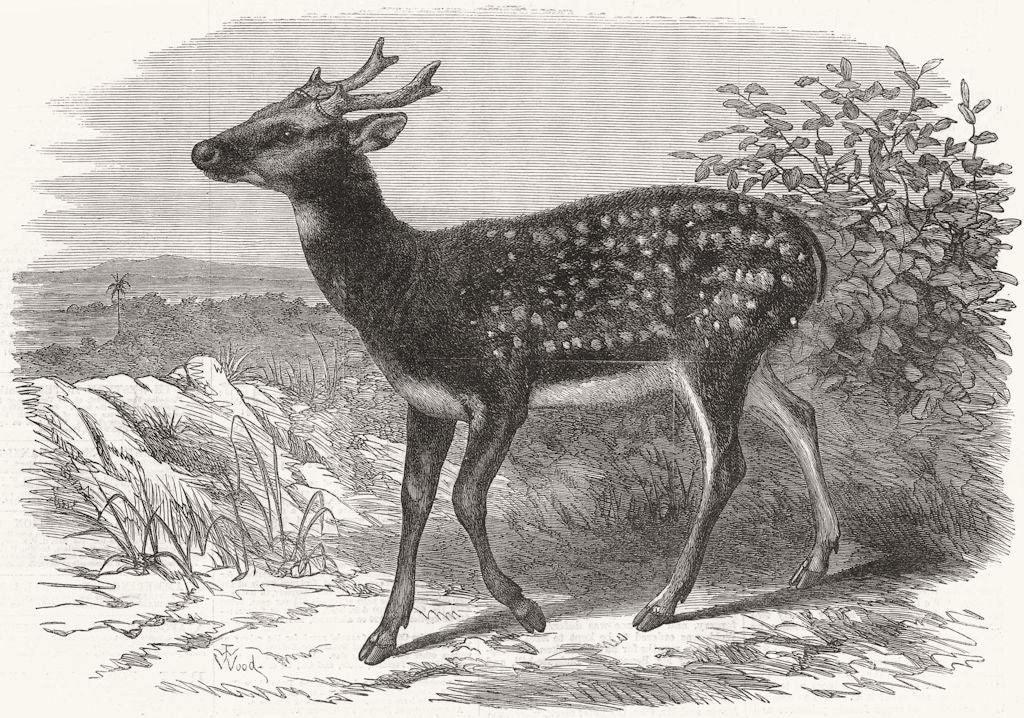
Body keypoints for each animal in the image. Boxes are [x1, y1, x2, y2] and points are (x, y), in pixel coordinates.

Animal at [192, 38, 841, 666]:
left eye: (288, 131)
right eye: (260, 110)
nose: (202, 149)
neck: (403, 285)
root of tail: (812, 251)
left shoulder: (501, 386)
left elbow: (465, 499)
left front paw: (525, 607)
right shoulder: (426, 400)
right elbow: (414, 500)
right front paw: (383, 636)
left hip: (717, 342)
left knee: (727, 462)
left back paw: (663, 603)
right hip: (746, 352)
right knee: (801, 414)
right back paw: (813, 563)